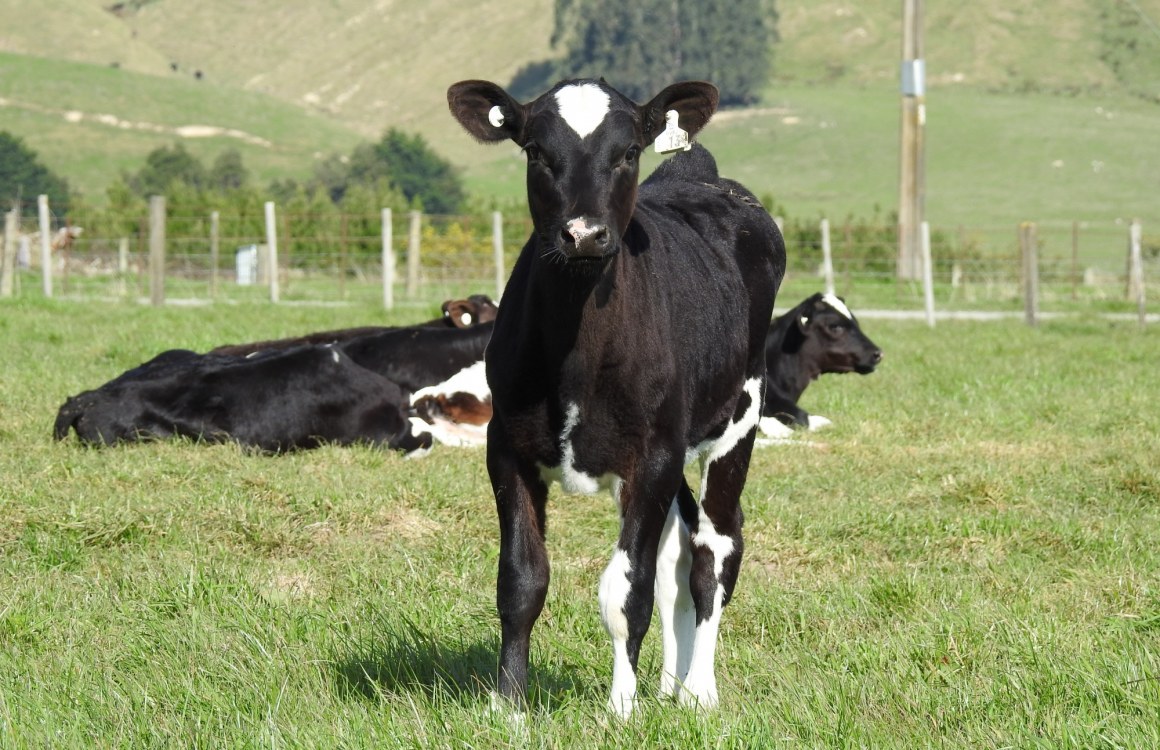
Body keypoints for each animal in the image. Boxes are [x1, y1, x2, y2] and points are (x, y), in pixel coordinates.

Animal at [447, 77, 784, 716]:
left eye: (627, 152)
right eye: (535, 151)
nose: (583, 233)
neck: (578, 354)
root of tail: (697, 174)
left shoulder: (651, 457)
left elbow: (626, 592)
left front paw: (621, 709)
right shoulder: (506, 447)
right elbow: (521, 580)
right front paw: (509, 707)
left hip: (737, 418)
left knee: (715, 549)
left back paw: (698, 690)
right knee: (680, 553)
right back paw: (671, 684)